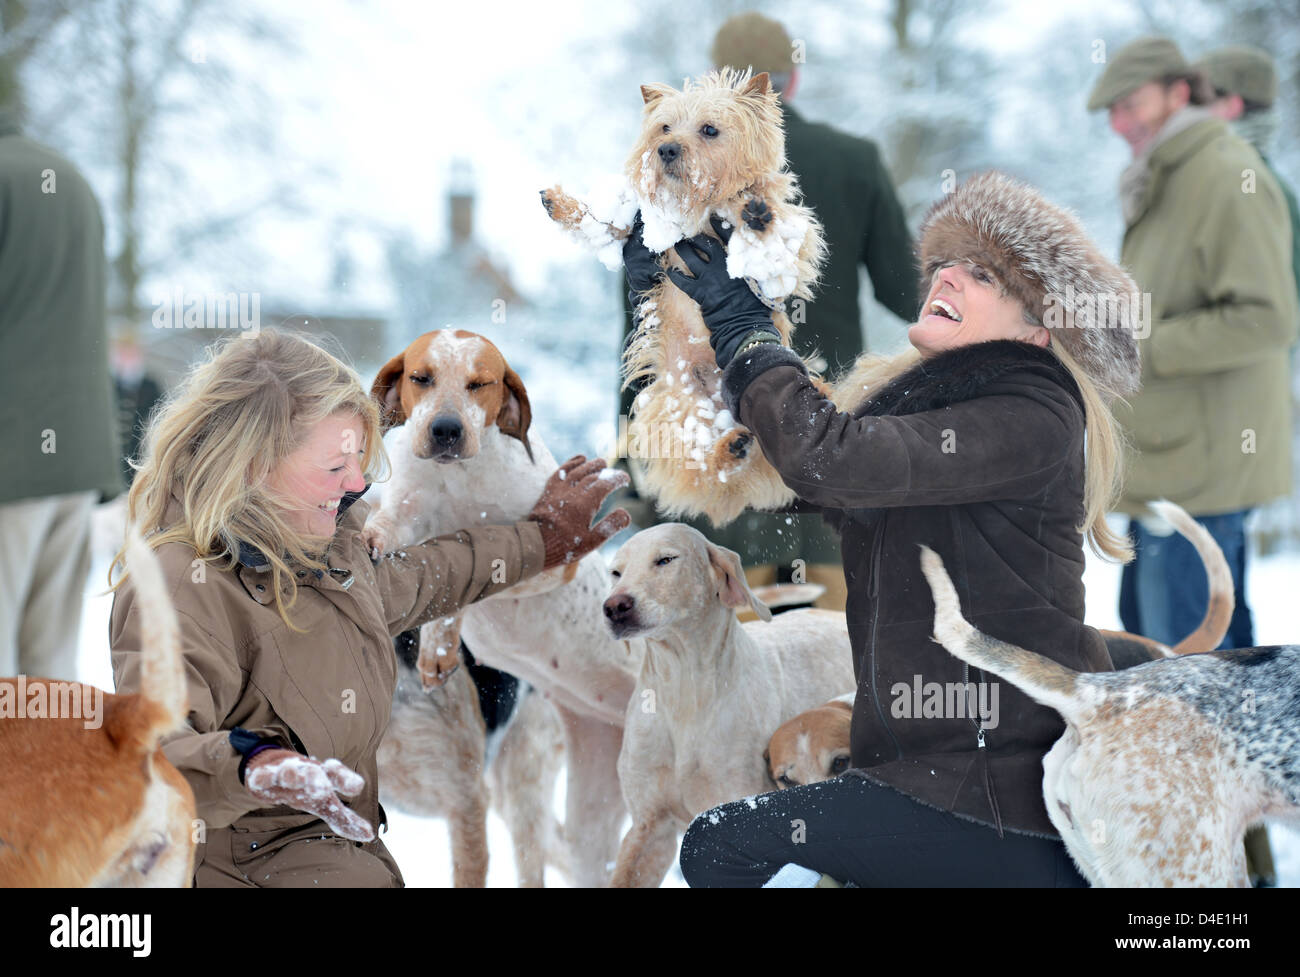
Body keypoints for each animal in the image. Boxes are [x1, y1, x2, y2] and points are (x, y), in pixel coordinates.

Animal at [540, 66, 826, 527]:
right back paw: (729, 447)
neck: (697, 207)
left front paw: (757, 216)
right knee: (703, 457)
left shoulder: (785, 258)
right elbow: (604, 225)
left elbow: (771, 247)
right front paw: (560, 204)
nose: (667, 149)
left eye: (709, 129)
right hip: (676, 406)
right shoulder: (635, 227)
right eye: (664, 127)